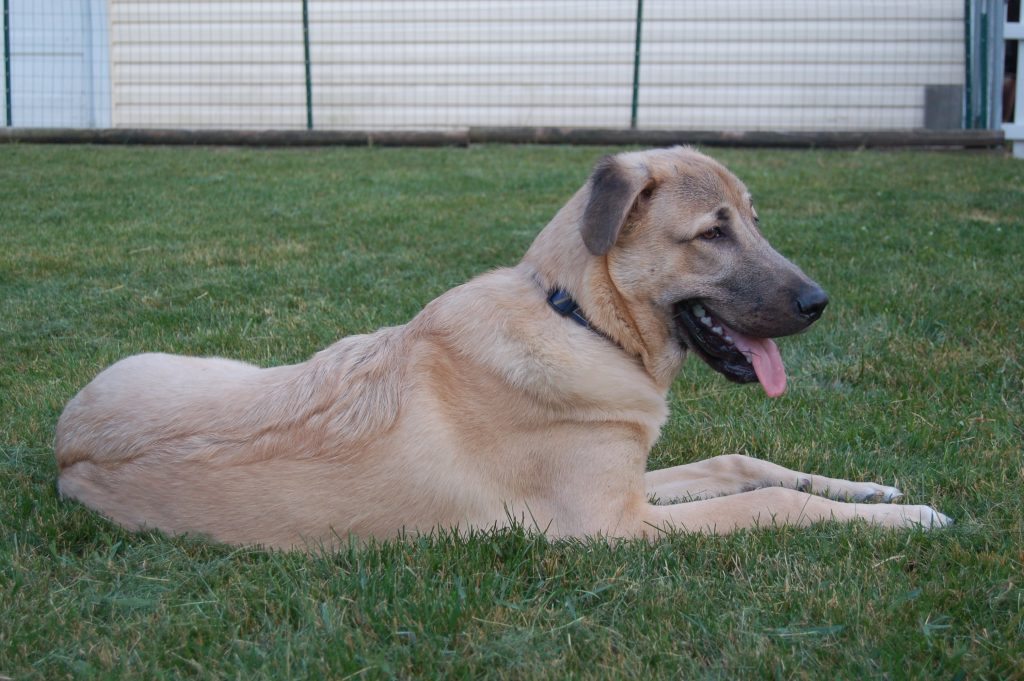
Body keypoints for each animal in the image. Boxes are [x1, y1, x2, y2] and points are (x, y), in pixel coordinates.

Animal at [54, 147, 950, 548]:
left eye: (755, 220)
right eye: (712, 233)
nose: (819, 302)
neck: (578, 318)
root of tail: (63, 448)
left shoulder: (633, 480)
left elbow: (740, 463)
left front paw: (872, 486)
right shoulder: (613, 523)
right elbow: (765, 502)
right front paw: (908, 516)